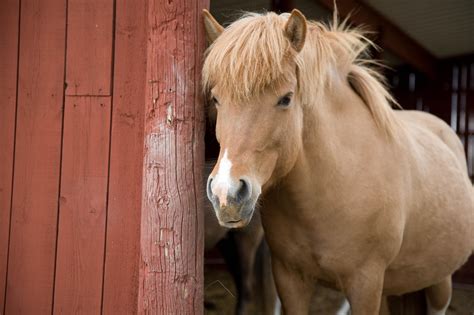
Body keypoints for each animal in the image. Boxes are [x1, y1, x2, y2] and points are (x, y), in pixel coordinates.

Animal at [201, 8, 474, 314]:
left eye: (286, 99)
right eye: (216, 99)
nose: (226, 194)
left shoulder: (366, 284)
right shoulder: (289, 278)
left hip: (439, 282)